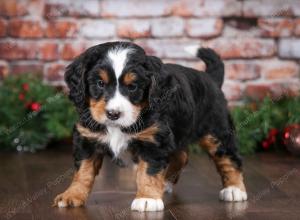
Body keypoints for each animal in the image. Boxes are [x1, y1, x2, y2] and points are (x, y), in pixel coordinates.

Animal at [52, 40, 247, 211]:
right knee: (182, 156)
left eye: (133, 86)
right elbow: (83, 171)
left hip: (217, 131)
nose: (113, 114)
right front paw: (72, 195)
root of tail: (210, 78)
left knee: (229, 158)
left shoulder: (153, 140)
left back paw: (234, 189)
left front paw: (147, 199)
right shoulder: (87, 138)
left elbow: (149, 171)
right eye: (100, 84)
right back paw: (166, 182)